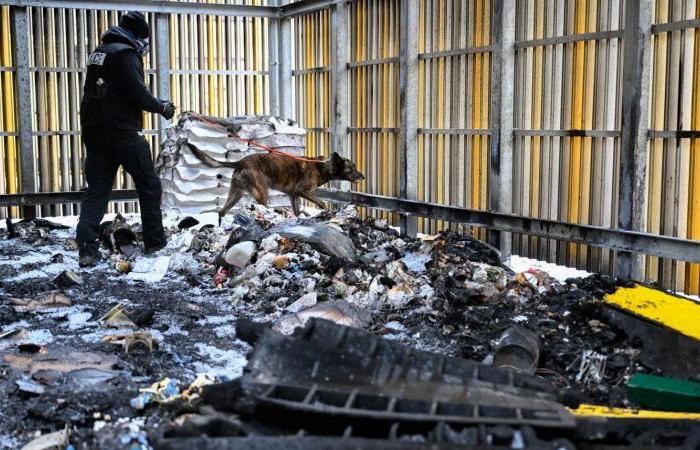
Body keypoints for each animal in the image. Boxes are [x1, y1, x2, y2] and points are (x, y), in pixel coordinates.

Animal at [185, 142, 366, 220]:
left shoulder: (294, 195)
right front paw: (325, 212)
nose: (363, 176)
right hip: (261, 193)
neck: (323, 167)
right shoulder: (302, 191)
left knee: (222, 211)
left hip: (236, 194)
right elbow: (321, 202)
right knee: (262, 207)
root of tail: (240, 162)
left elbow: (297, 211)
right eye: (353, 167)